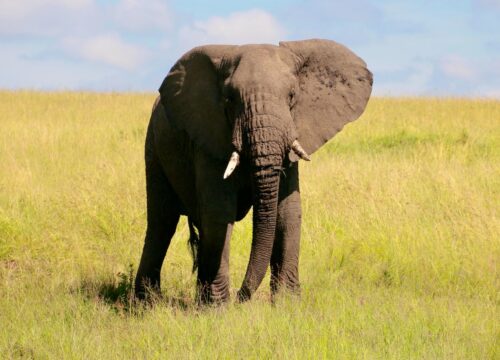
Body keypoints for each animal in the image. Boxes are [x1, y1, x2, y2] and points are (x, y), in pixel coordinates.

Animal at [133, 39, 372, 304]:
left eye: (292, 96)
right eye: (229, 99)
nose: (240, 296)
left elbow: (288, 212)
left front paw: (287, 303)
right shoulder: (209, 138)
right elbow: (219, 211)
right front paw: (219, 307)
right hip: (153, 147)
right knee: (162, 222)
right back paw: (146, 303)